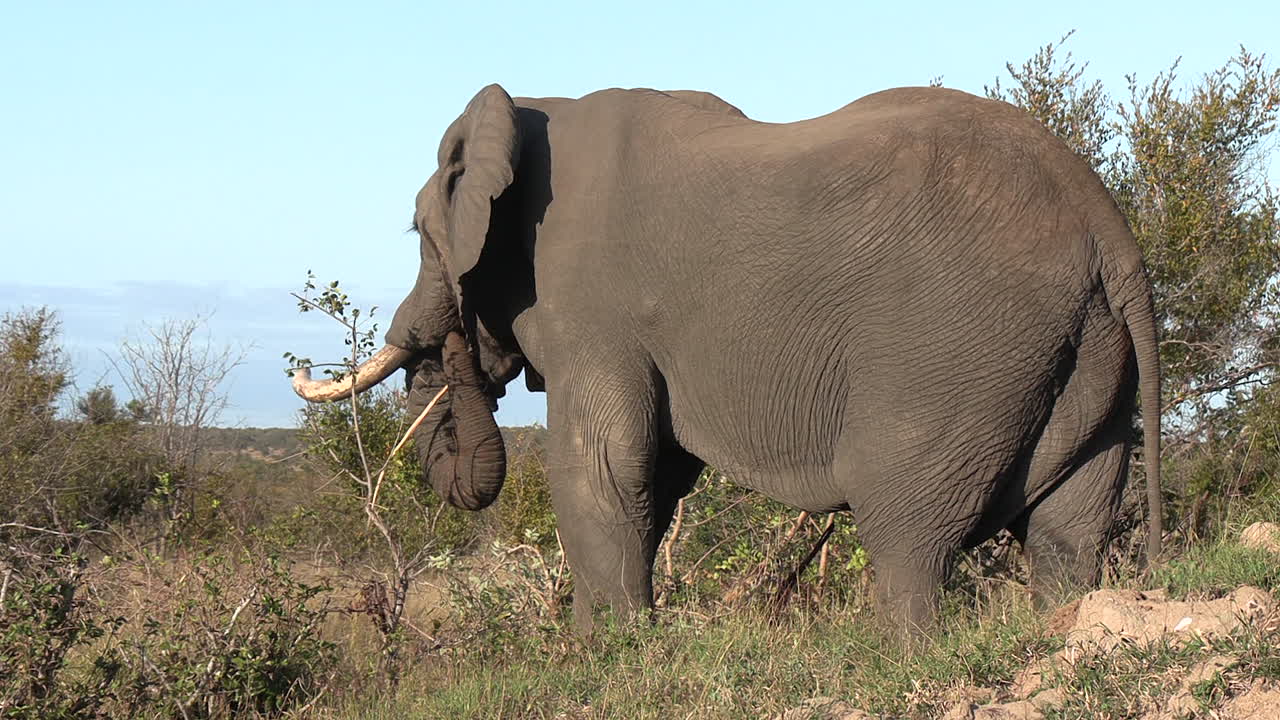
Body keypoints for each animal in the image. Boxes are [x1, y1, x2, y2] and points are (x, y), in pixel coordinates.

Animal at [291, 83, 1162, 631]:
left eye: (417, 233)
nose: (452, 338)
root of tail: (1105, 226)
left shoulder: (593, 307)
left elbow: (601, 469)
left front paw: (608, 659)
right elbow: (654, 476)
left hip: (956, 347)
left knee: (907, 528)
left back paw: (900, 654)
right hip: (1081, 351)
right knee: (1069, 530)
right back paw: (1061, 625)